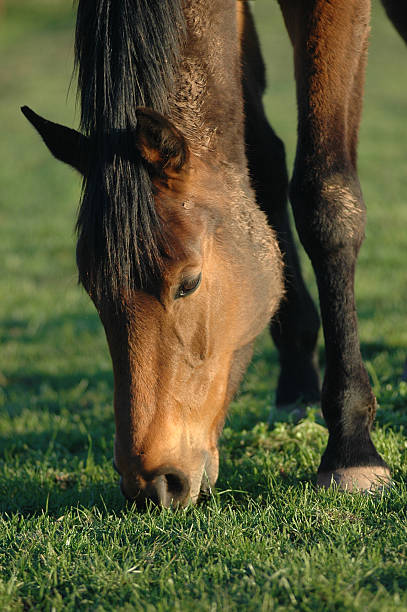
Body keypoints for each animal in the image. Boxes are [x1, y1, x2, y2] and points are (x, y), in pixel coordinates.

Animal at [20, 1, 396, 506]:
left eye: (189, 283)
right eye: (93, 291)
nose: (154, 485)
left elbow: (325, 198)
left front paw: (351, 451)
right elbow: (263, 165)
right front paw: (297, 377)